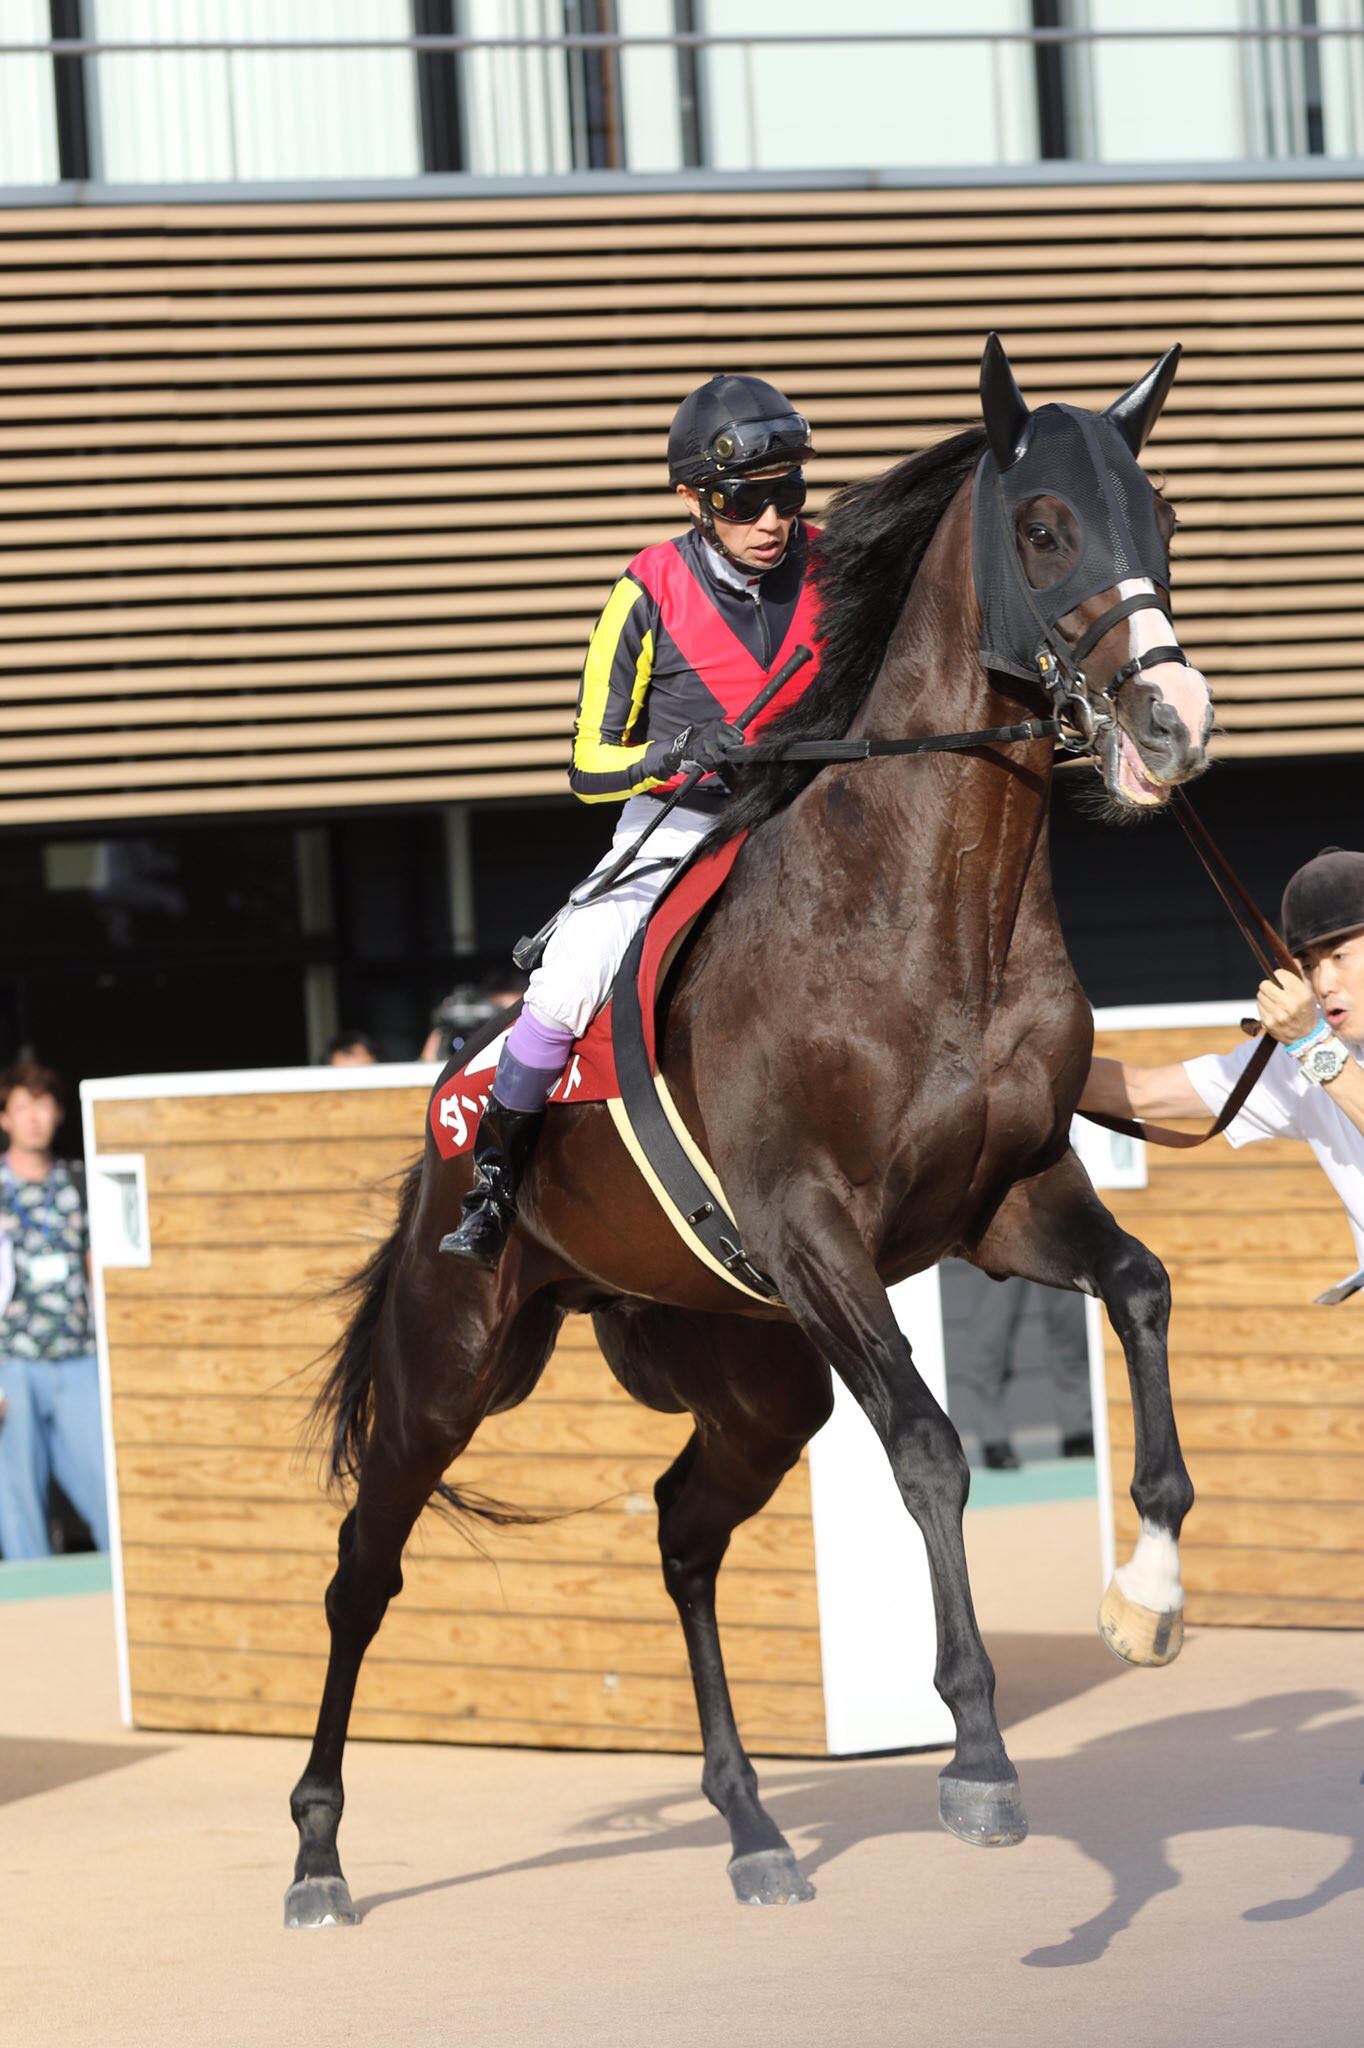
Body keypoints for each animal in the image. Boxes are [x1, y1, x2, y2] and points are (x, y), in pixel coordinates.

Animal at [285, 335, 1214, 1926]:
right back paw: (319, 1850)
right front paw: (977, 1755)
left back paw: (753, 1828)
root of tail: (448, 1104)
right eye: (1044, 528)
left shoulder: (1005, 1200)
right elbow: (931, 1449)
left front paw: (1144, 1593)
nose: (1173, 721)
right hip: (451, 1364)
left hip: (754, 1379)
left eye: (1158, 518)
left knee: (680, 1529)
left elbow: (1141, 1289)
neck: (925, 912)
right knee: (363, 1569)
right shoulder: (812, 1234)